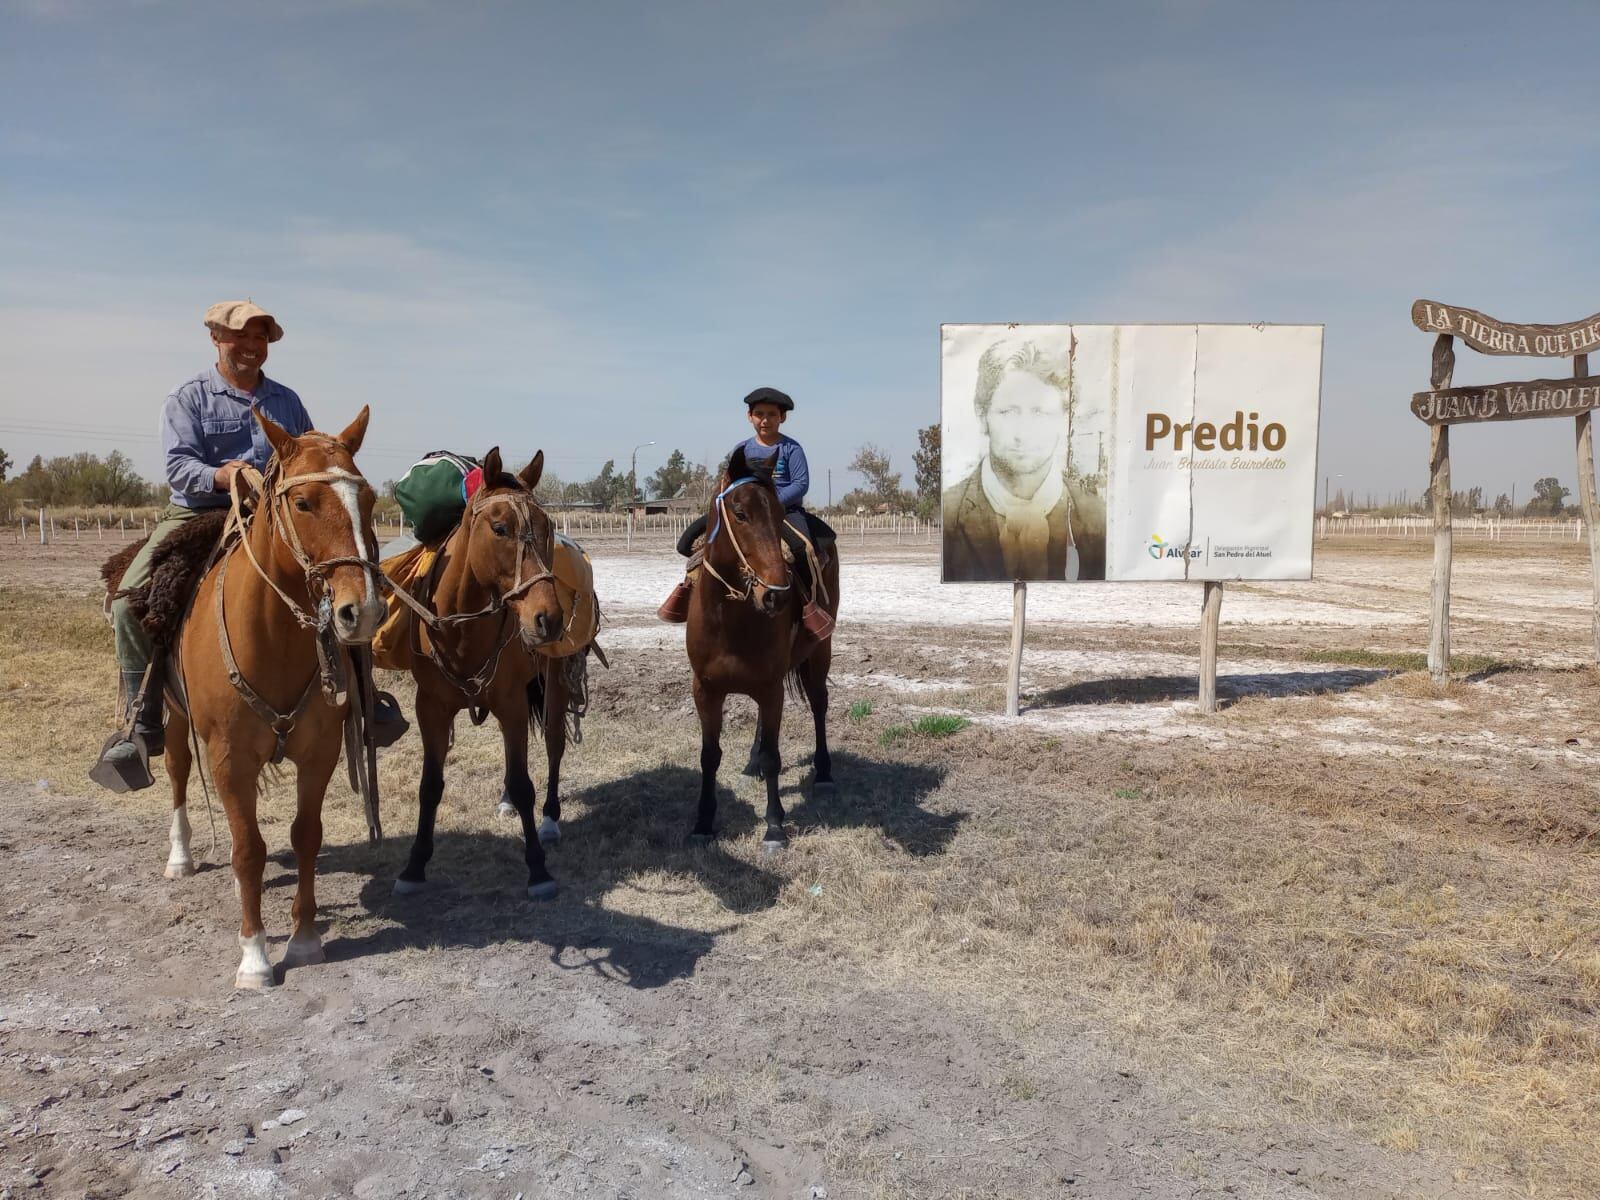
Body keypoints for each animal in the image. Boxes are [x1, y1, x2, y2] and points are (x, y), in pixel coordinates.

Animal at [159, 409, 387, 992]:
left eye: (370, 498)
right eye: (303, 503)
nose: (362, 610)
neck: (270, 638)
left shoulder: (319, 753)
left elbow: (305, 835)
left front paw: (304, 940)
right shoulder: (229, 760)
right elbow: (248, 851)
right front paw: (256, 956)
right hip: (174, 715)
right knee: (175, 770)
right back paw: (180, 855)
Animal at [388, 451, 576, 902]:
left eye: (547, 525)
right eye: (500, 528)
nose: (549, 618)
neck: (460, 629)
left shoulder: (510, 703)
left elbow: (525, 783)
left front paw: (538, 869)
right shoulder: (431, 708)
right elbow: (430, 785)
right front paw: (414, 866)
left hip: (554, 681)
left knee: (555, 746)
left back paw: (550, 820)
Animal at [684, 448, 844, 851]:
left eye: (778, 513)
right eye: (740, 513)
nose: (777, 594)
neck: (730, 621)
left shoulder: (772, 689)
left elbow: (774, 757)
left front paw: (774, 826)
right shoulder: (705, 689)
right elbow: (709, 756)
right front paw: (703, 823)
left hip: (820, 653)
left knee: (819, 704)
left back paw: (824, 773)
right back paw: (751, 764)